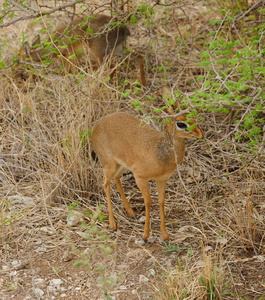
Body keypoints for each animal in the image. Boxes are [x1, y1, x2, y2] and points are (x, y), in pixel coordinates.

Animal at [16, 14, 146, 85]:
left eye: (18, 58)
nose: (15, 68)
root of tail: (124, 29)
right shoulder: (70, 56)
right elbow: (69, 71)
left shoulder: (68, 54)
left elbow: (70, 71)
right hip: (118, 49)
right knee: (138, 56)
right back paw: (143, 84)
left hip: (99, 53)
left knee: (110, 68)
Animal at [89, 85, 203, 240]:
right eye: (181, 123)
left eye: (192, 116)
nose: (201, 134)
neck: (161, 154)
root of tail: (95, 128)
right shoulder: (140, 178)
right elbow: (148, 202)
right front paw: (145, 234)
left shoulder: (162, 179)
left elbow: (161, 201)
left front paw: (165, 234)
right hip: (109, 165)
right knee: (106, 184)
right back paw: (113, 225)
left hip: (121, 165)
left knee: (116, 178)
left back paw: (130, 212)